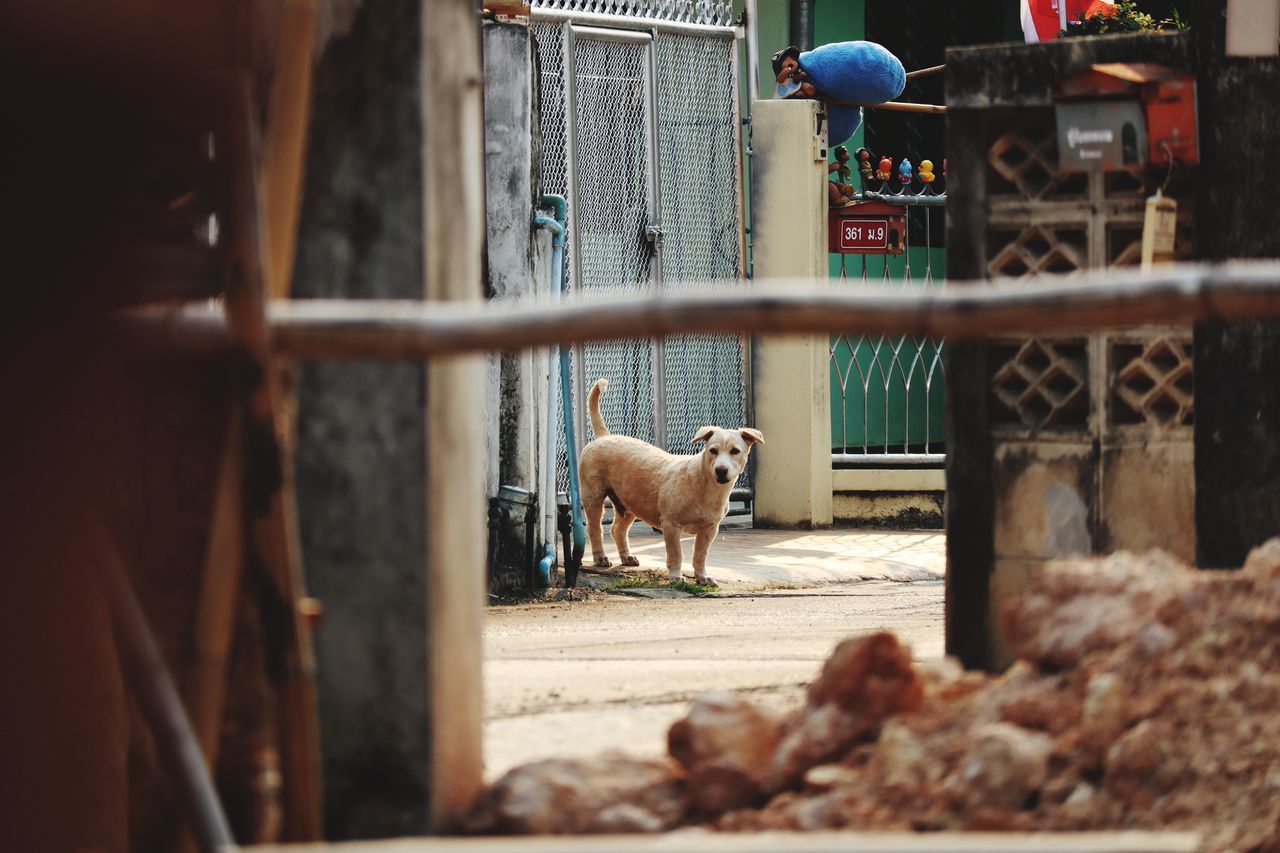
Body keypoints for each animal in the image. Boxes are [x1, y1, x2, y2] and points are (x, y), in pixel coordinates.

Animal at [578, 379, 762, 584]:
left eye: (735, 451)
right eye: (713, 450)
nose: (721, 470)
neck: (705, 487)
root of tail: (604, 436)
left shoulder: (710, 530)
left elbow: (700, 555)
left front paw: (702, 576)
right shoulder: (671, 525)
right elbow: (676, 554)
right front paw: (676, 576)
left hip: (629, 503)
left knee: (617, 529)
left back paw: (626, 556)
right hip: (593, 497)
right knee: (595, 529)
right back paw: (600, 557)